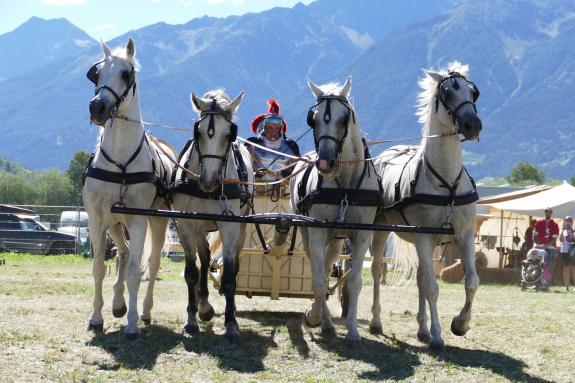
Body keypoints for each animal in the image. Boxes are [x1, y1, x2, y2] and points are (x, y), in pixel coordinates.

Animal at [82, 39, 174, 340]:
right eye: (96, 74)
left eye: (125, 74)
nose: (97, 107)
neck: (120, 159)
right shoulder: (97, 218)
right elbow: (99, 268)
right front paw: (96, 318)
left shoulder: (138, 220)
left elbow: (135, 271)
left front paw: (132, 324)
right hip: (114, 222)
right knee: (121, 253)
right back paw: (118, 303)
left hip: (157, 222)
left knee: (151, 263)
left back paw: (143, 311)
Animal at [171, 90, 252, 344]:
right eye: (198, 132)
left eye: (229, 134)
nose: (209, 180)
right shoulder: (186, 224)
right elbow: (191, 272)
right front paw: (192, 319)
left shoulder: (230, 226)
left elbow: (228, 277)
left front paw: (231, 324)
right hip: (199, 227)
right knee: (205, 258)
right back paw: (204, 305)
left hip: (242, 228)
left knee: (234, 265)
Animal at [292, 76, 382, 344]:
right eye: (313, 119)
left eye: (344, 119)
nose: (324, 162)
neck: (346, 185)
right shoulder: (317, 231)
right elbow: (319, 282)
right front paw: (314, 317)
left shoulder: (362, 234)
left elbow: (353, 281)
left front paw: (352, 331)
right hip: (308, 233)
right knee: (317, 267)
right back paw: (323, 320)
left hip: (337, 238)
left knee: (328, 262)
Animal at [368, 62, 482, 352]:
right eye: (446, 93)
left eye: (473, 92)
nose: (473, 125)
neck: (446, 181)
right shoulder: (423, 237)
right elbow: (432, 287)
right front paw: (439, 336)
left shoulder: (465, 235)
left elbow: (472, 282)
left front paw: (460, 324)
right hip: (380, 230)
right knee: (377, 270)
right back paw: (376, 322)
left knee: (420, 277)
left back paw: (422, 329)